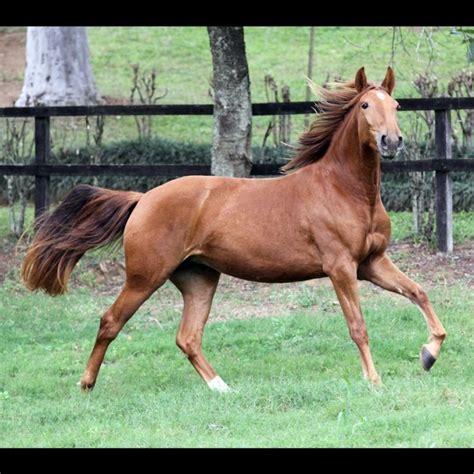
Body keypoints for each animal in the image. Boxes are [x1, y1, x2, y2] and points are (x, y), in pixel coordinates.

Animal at [21, 66, 444, 392]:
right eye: (365, 105)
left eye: (397, 105)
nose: (392, 141)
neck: (346, 191)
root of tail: (143, 199)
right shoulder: (340, 268)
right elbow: (358, 326)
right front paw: (374, 380)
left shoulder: (371, 263)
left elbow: (419, 292)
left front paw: (429, 353)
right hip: (145, 276)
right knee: (110, 321)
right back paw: (86, 384)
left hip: (199, 279)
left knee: (188, 337)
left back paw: (222, 388)